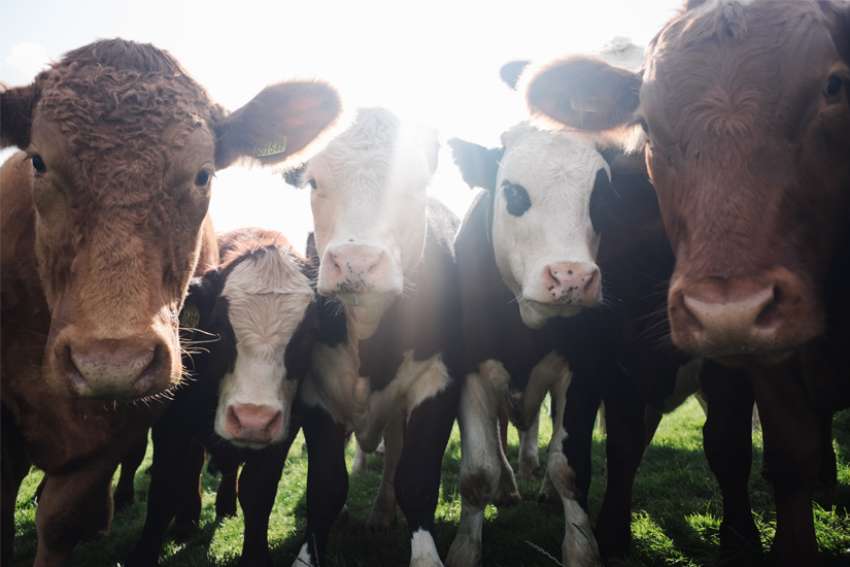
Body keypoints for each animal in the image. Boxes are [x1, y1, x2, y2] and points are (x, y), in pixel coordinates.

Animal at [127, 228, 320, 567]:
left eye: (307, 334)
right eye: (219, 327)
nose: (252, 419)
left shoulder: (282, 434)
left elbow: (258, 494)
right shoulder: (171, 424)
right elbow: (164, 487)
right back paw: (187, 521)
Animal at [285, 107, 461, 567]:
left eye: (415, 182)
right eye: (314, 181)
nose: (356, 262)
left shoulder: (438, 383)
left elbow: (416, 479)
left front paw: (425, 556)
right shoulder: (316, 393)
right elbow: (325, 487)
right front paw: (307, 554)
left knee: (395, 455)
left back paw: (382, 513)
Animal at [520, 1, 850, 565]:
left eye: (833, 86)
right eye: (646, 120)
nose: (730, 311)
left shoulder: (729, 363)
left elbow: (728, 443)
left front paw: (739, 539)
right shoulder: (612, 351)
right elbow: (622, 440)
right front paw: (612, 534)